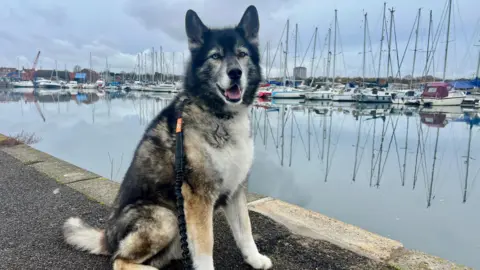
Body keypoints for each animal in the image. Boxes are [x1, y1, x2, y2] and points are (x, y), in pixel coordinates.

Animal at [63, 4, 272, 270]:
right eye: (215, 56)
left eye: (242, 53)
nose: (235, 72)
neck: (219, 116)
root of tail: (107, 238)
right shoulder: (197, 198)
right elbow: (206, 244)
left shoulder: (236, 190)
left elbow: (246, 230)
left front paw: (255, 259)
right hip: (167, 217)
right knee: (119, 260)